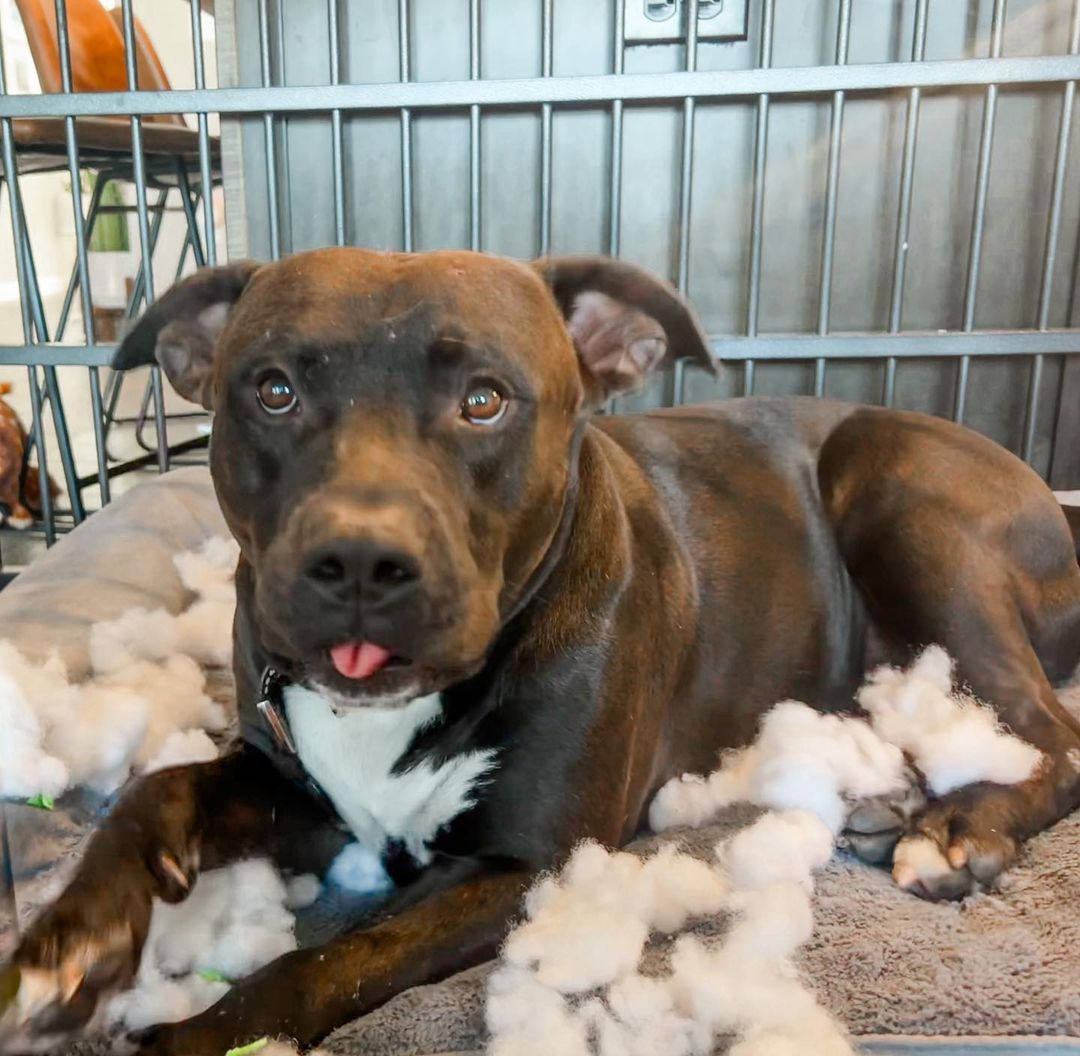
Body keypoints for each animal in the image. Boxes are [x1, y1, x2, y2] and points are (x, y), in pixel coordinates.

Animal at [2, 251, 1080, 1049]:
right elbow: (155, 792)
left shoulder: (525, 867)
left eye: (485, 400)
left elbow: (335, 955)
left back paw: (959, 831)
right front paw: (69, 943)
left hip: (896, 490)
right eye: (271, 390)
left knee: (1051, 731)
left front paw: (199, 1036)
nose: (359, 560)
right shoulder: (289, 783)